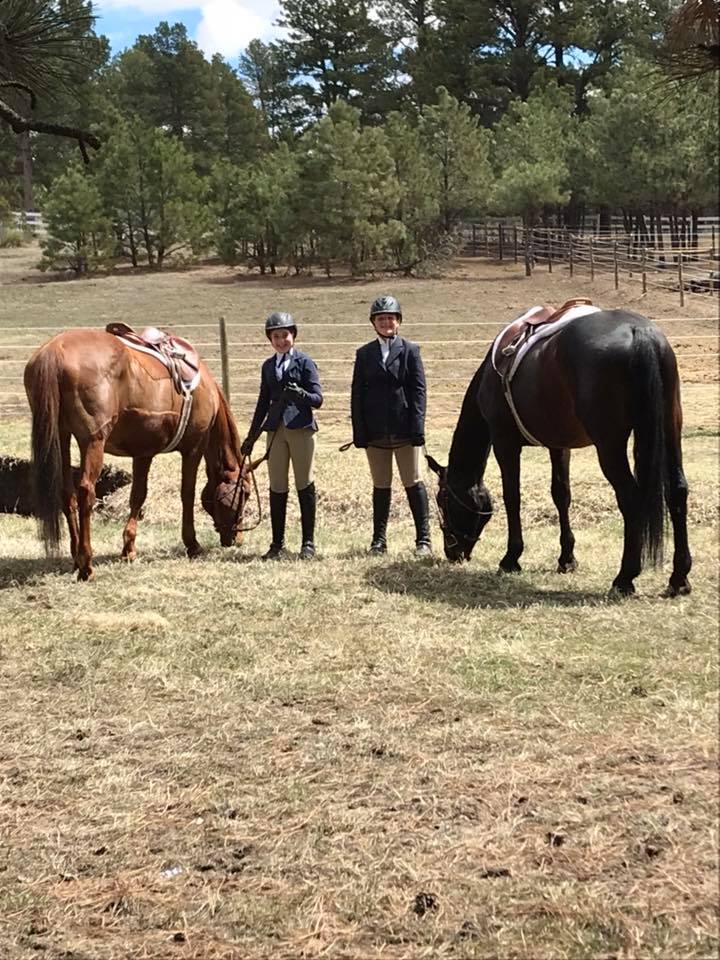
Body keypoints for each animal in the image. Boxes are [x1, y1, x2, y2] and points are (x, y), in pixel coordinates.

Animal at [24, 326, 256, 580]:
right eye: (245, 493)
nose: (237, 538)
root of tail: (54, 350)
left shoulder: (143, 453)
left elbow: (138, 495)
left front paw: (129, 548)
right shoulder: (193, 448)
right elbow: (187, 494)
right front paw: (192, 544)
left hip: (62, 436)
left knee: (67, 493)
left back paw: (76, 558)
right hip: (92, 441)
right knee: (86, 491)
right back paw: (86, 565)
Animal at [428, 312, 692, 596]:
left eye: (442, 500)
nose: (452, 552)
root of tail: (637, 330)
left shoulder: (504, 442)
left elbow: (512, 497)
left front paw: (511, 558)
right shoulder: (559, 445)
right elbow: (561, 494)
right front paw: (567, 558)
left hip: (609, 445)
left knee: (631, 498)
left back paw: (624, 578)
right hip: (669, 428)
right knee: (677, 490)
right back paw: (679, 578)